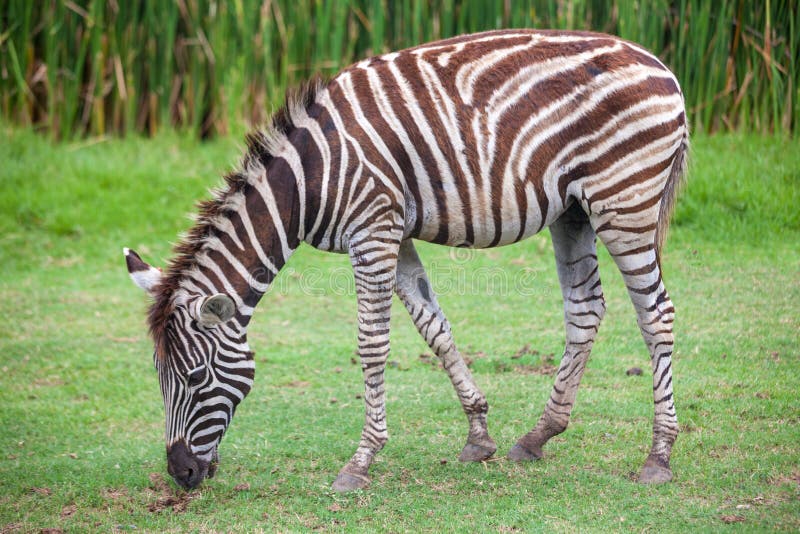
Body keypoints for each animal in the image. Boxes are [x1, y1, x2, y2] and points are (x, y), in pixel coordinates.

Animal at [124, 29, 687, 492]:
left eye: (196, 378)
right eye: (158, 377)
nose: (180, 474)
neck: (309, 179)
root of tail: (663, 66)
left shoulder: (372, 231)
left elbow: (372, 345)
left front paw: (361, 461)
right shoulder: (395, 235)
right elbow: (434, 328)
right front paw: (479, 435)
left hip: (624, 201)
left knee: (656, 315)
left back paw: (658, 456)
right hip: (573, 210)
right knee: (585, 309)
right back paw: (538, 436)